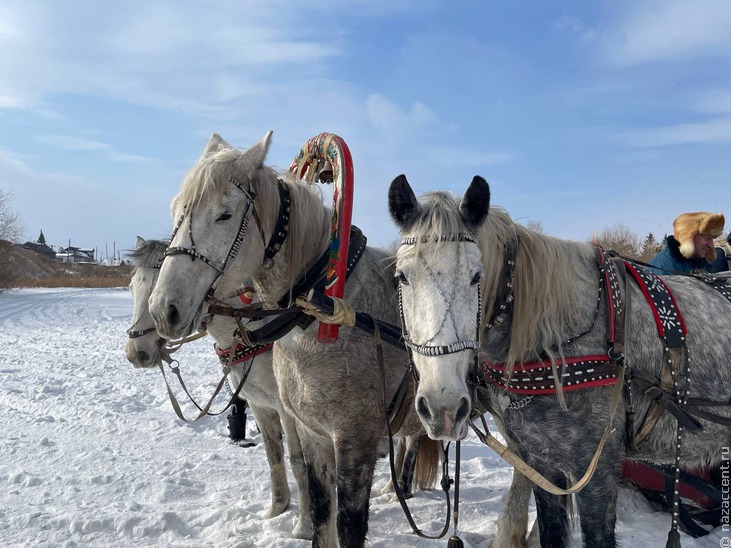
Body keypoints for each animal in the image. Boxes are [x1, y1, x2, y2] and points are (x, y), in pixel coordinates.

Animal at [124, 237, 314, 540]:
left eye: (158, 288)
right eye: (132, 287)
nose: (136, 353)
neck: (255, 329)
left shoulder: (289, 410)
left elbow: (298, 461)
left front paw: (303, 526)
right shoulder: (260, 404)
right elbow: (273, 455)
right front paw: (276, 510)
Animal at [146, 133, 438, 548]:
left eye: (225, 215)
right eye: (176, 212)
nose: (162, 310)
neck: (322, 310)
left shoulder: (353, 441)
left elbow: (346, 522)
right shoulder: (306, 428)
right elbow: (315, 504)